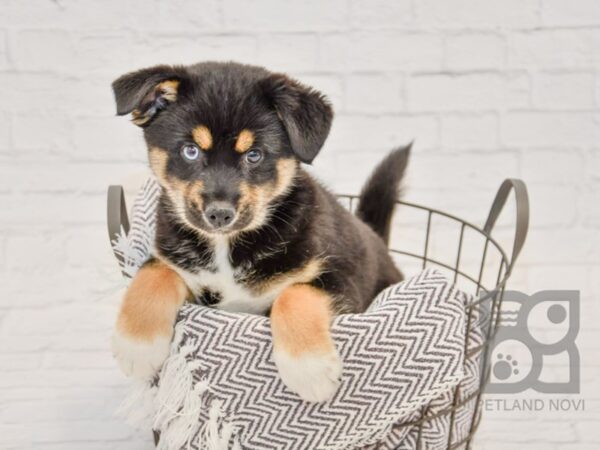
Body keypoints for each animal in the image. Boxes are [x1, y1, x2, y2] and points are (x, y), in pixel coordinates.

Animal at [110, 61, 410, 402]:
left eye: (254, 155)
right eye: (190, 151)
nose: (219, 214)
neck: (226, 247)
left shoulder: (344, 279)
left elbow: (295, 293)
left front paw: (309, 369)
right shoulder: (176, 262)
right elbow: (153, 272)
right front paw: (137, 347)